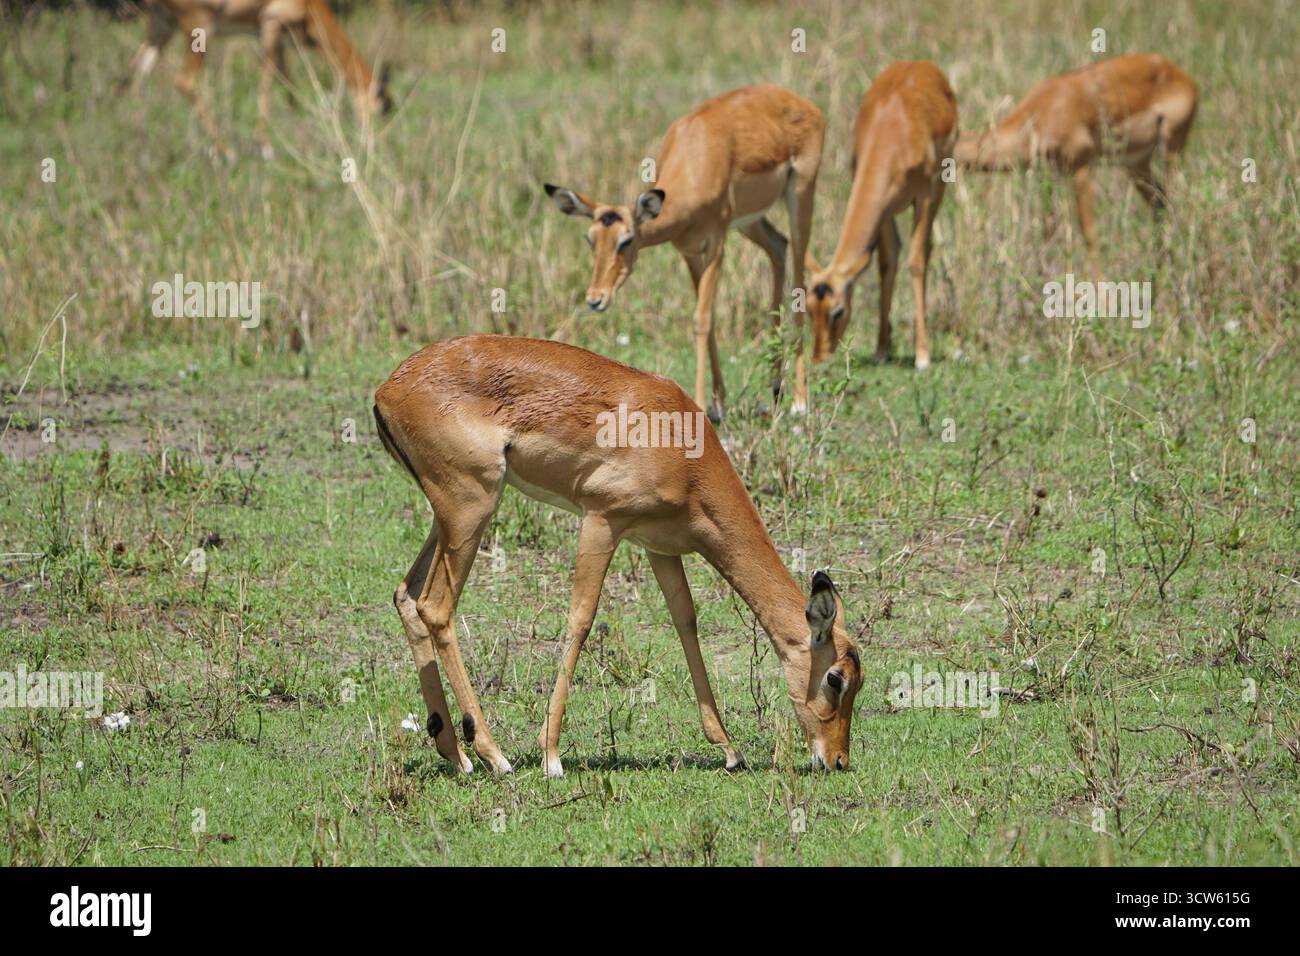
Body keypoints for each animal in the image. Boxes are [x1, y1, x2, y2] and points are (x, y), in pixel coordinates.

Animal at [126, 0, 391, 158]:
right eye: (380, 106)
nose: (369, 145)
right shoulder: (269, 25)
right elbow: (266, 82)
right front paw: (265, 147)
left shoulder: (279, 40)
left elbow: (288, 87)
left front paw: (301, 139)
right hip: (200, 27)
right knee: (183, 81)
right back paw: (226, 152)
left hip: (162, 25)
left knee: (137, 75)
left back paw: (142, 153)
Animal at [373, 335, 863, 778]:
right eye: (835, 677)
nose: (837, 759)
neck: (681, 447)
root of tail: (387, 390)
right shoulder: (602, 520)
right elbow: (581, 620)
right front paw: (551, 757)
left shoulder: (659, 547)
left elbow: (686, 624)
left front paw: (729, 750)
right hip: (471, 508)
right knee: (436, 607)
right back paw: (495, 757)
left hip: (449, 519)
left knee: (406, 596)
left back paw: (457, 757)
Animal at [544, 84, 824, 420]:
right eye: (590, 239)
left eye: (626, 240)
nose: (596, 299)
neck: (695, 162)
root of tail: (797, 100)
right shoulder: (689, 251)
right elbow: (709, 317)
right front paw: (719, 402)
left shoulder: (716, 244)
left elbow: (701, 319)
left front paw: (703, 404)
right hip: (750, 220)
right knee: (778, 247)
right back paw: (775, 385)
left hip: (800, 196)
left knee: (798, 278)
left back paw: (799, 401)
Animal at [807, 61, 957, 371]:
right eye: (808, 308)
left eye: (837, 311)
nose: (818, 357)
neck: (891, 136)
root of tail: (922, 65)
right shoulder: (884, 209)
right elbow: (887, 263)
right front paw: (881, 349)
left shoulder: (923, 196)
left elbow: (915, 263)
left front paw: (922, 356)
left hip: (939, 187)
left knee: (926, 249)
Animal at [955, 53, 1198, 274]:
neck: (1040, 112)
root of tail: (1182, 75)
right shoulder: (1048, 174)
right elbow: (1049, 232)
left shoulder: (1080, 167)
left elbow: (1089, 234)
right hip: (1136, 163)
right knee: (1161, 204)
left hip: (1171, 150)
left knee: (1176, 204)